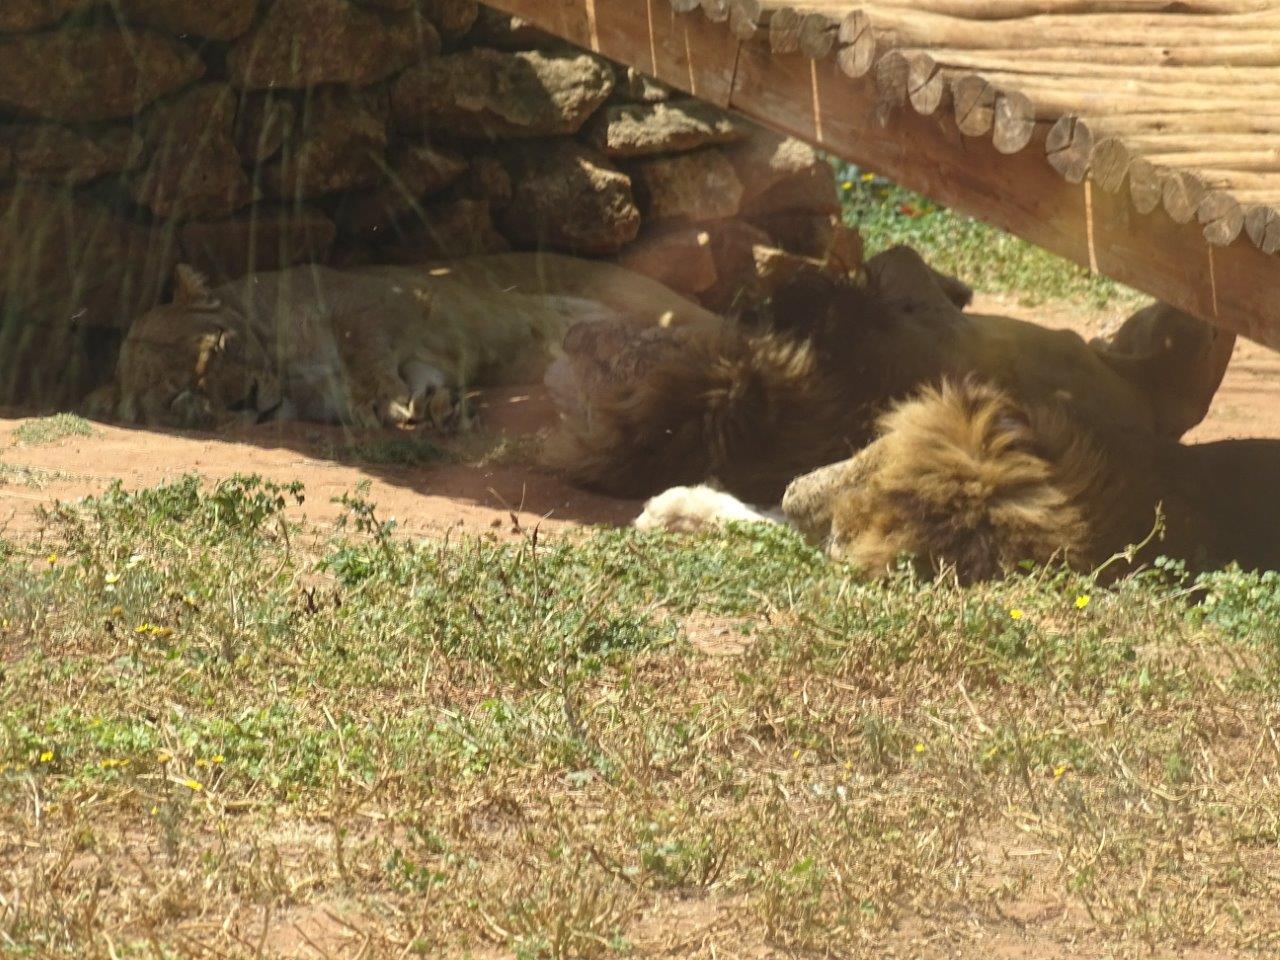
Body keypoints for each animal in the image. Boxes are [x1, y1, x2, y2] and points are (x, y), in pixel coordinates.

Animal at [87, 253, 724, 431]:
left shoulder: (378, 299)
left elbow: (364, 350)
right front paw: (433, 409)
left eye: (220, 346)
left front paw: (387, 402)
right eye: (182, 400)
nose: (244, 400)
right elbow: (418, 383)